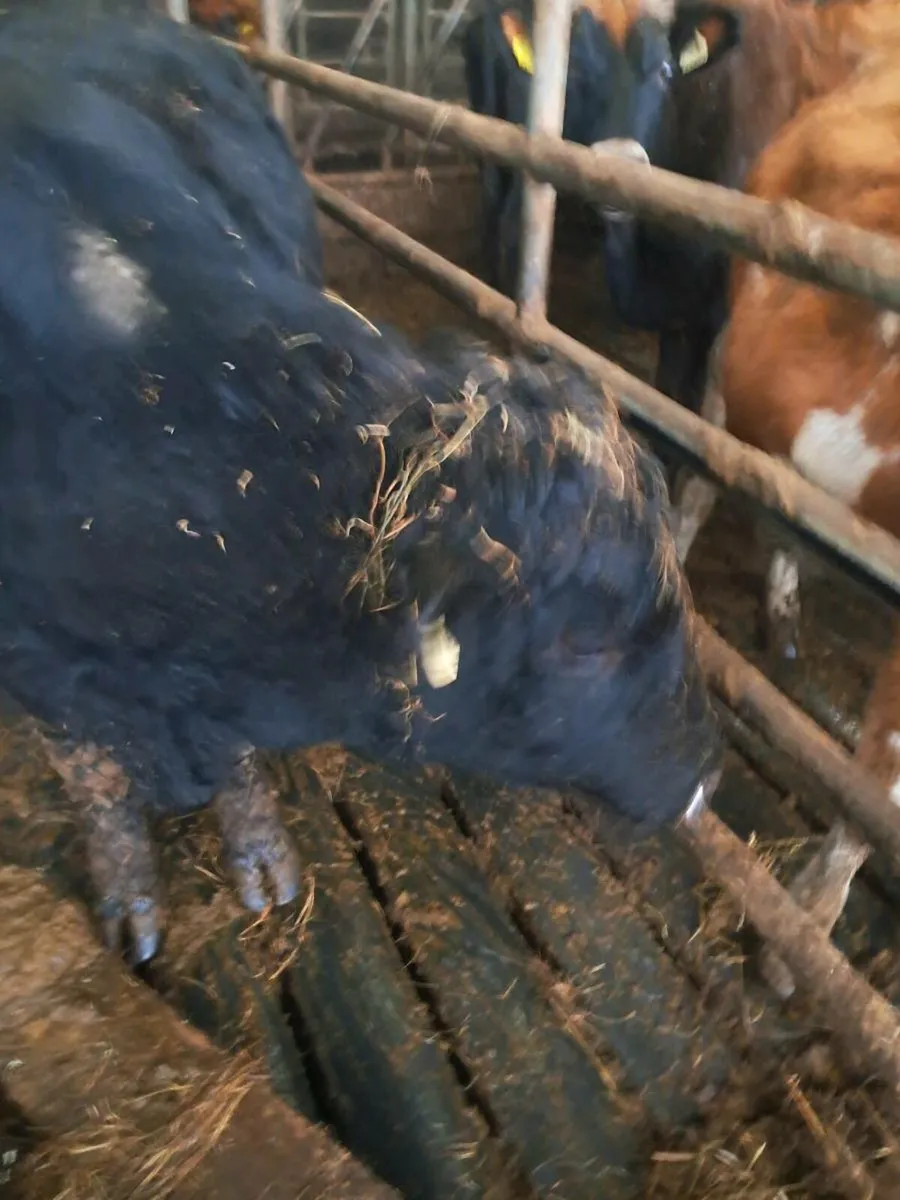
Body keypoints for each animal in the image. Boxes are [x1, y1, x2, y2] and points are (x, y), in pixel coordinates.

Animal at [0, 1, 722, 963]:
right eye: (585, 642)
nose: (705, 775)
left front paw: (261, 856)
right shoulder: (35, 663)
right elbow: (91, 775)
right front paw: (131, 897)